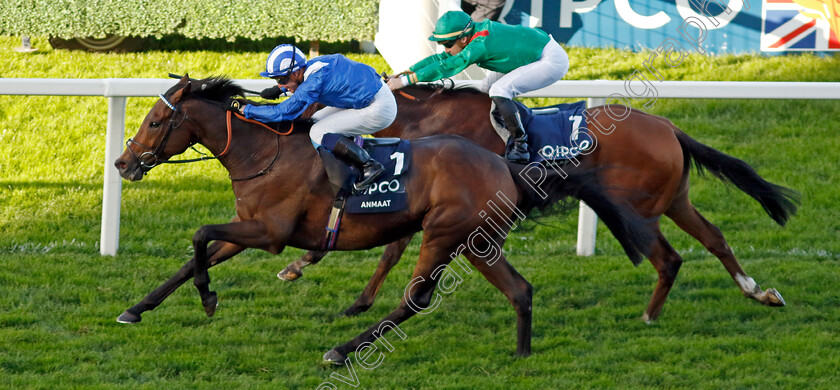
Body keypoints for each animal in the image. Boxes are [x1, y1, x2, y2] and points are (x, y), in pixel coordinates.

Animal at [113, 76, 656, 362]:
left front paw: (207, 298)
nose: (122, 163)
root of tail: (504, 165)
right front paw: (137, 309)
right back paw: (522, 354)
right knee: (520, 290)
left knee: (416, 298)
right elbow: (193, 256)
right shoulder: (247, 229)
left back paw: (343, 349)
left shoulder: (269, 233)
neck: (263, 153)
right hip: (476, 242)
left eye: (156, 121)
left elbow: (199, 234)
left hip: (442, 234)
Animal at [280, 84, 796, 322]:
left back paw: (649, 315)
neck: (429, 119)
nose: (295, 127)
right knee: (715, 238)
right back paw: (759, 292)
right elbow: (386, 248)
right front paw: (314, 273)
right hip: (674, 200)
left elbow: (389, 249)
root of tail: (669, 127)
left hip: (640, 210)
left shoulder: (437, 201)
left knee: (669, 258)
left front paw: (332, 284)